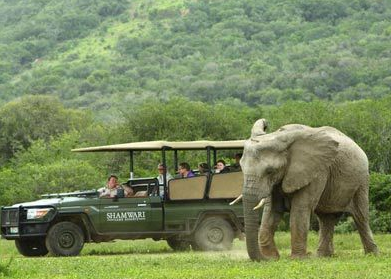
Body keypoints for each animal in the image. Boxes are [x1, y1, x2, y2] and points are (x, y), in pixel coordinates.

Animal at [242, 121, 380, 262]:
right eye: (241, 168)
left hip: (361, 180)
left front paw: (297, 259)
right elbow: (272, 210)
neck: (279, 136)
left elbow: (300, 209)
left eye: (270, 171)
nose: (267, 258)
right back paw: (323, 256)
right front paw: (272, 257)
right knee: (326, 218)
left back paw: (372, 255)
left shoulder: (317, 172)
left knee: (361, 217)